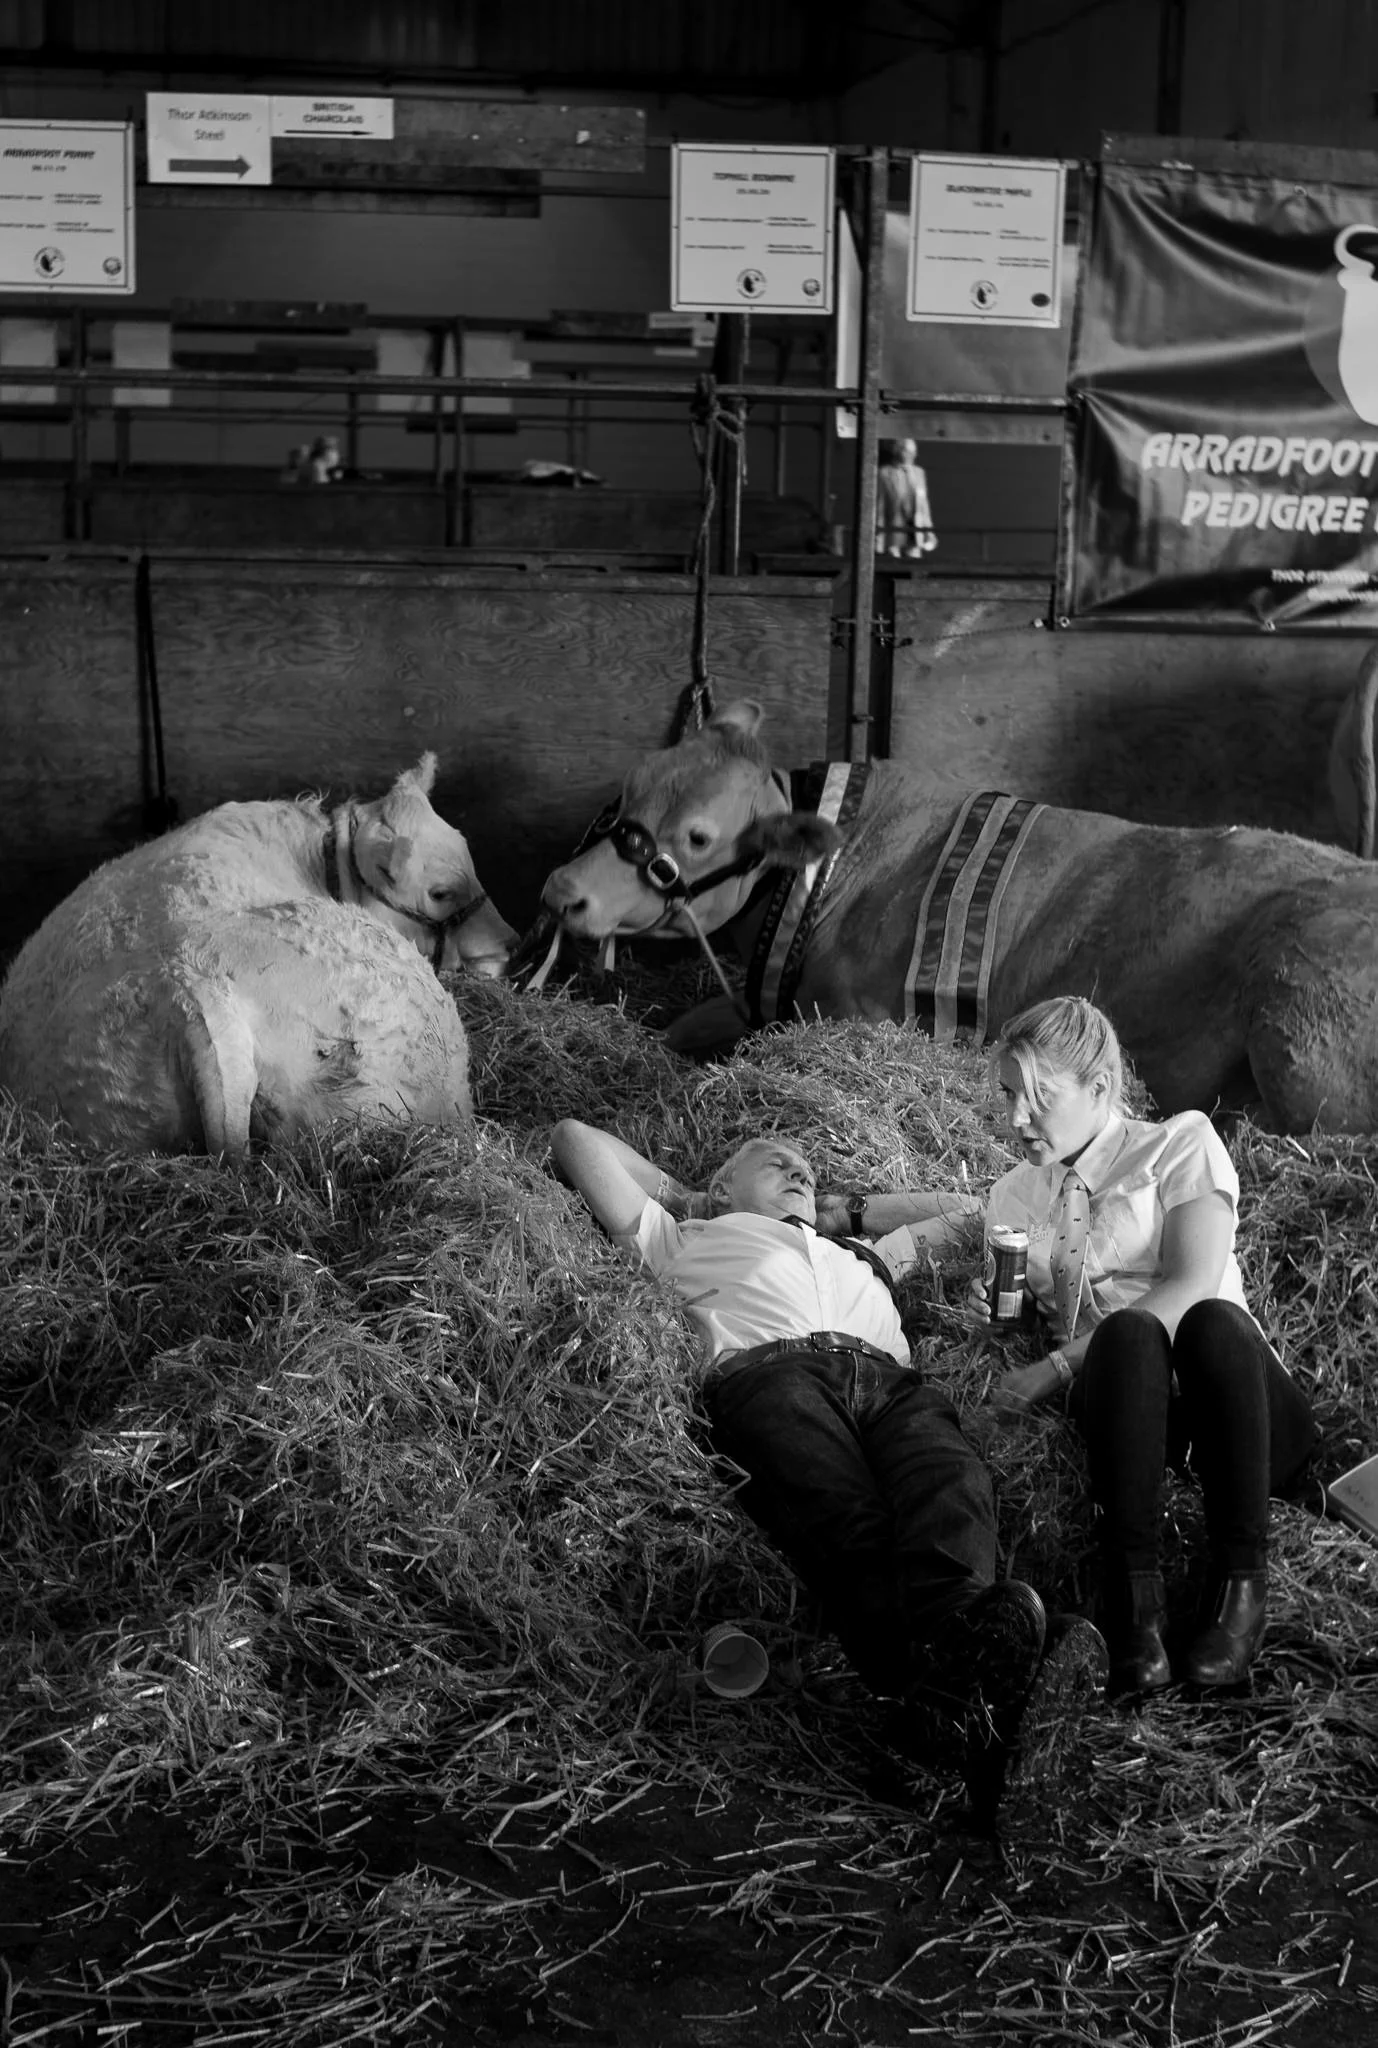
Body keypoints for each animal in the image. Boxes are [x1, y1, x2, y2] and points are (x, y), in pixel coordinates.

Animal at [539, 699, 1378, 1136]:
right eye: (632, 786)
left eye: (698, 836)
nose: (561, 890)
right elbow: (677, 1031)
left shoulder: (859, 1013)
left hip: (1300, 1024)